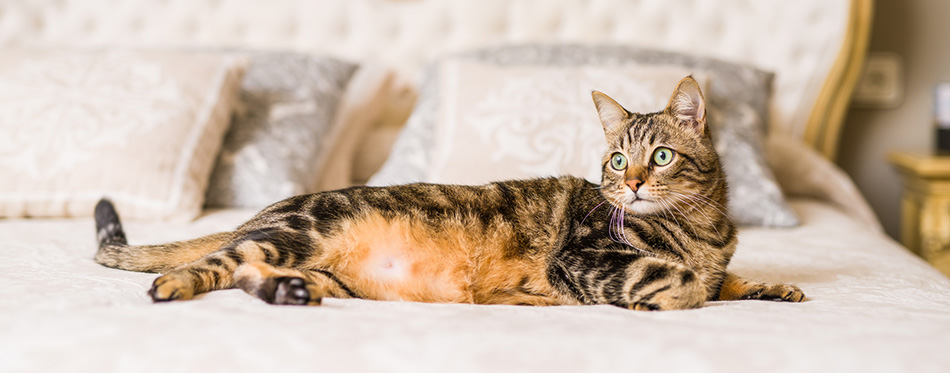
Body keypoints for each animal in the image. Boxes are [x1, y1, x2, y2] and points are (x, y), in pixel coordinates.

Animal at [95, 77, 804, 310]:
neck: (704, 230)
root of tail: (265, 213)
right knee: (213, 263)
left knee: (251, 276)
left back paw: (291, 293)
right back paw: (172, 284)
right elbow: (679, 283)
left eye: (658, 156)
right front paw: (682, 292)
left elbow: (726, 280)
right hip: (296, 234)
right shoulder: (583, 258)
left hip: (322, 271)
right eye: (616, 160)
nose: (629, 185)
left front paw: (772, 286)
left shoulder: (714, 260)